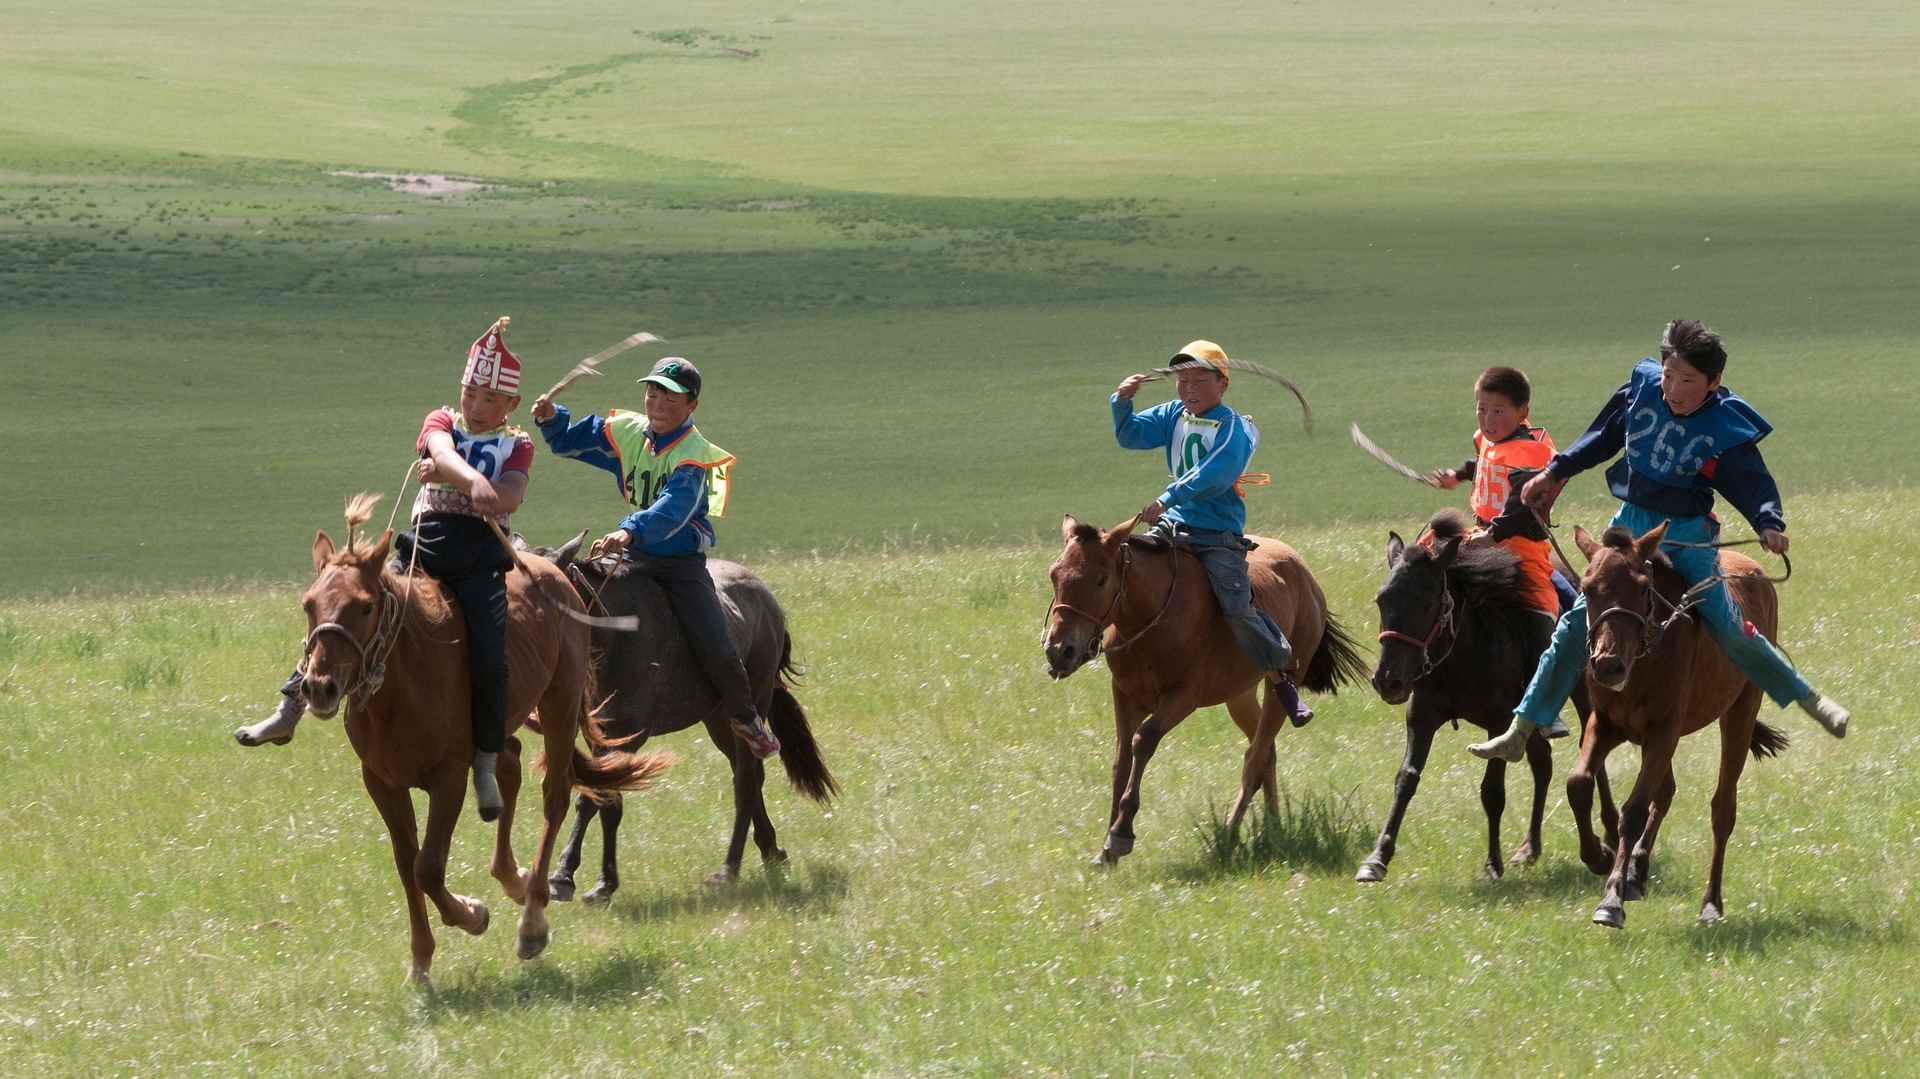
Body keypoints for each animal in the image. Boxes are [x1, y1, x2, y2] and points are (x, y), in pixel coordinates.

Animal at [299, 495, 675, 983]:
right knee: (510, 765)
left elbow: (428, 867)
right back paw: (514, 878)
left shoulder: (449, 778)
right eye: (309, 605)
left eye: (364, 607)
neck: (405, 686)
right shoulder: (380, 781)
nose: (319, 687)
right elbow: (406, 863)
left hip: (560, 706)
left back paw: (532, 918)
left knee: (554, 796)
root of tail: (556, 575)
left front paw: (472, 914)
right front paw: (421, 959)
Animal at [541, 529, 840, 898]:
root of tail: (768, 601)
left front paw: (589, 880)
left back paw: (729, 868)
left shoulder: (627, 735)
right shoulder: (599, 735)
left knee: (746, 781)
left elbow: (601, 800)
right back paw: (771, 850)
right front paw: (575, 875)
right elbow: (600, 797)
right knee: (751, 776)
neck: (612, 635)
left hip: (751, 703)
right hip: (719, 720)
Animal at [1044, 514, 1374, 863]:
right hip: (1239, 696)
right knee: (1266, 751)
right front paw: (1106, 849)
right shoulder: (1123, 694)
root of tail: (1307, 577)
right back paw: (1272, 829)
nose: (1059, 650)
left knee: (1256, 757)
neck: (1153, 617)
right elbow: (1121, 761)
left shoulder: (1183, 697)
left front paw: (1120, 834)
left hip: (1282, 682)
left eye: (1101, 579)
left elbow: (1142, 741)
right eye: (1054, 575)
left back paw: (1227, 836)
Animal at [1359, 506, 1612, 879]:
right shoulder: (1421, 716)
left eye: (1426, 603)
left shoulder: (1499, 720)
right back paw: (1530, 847)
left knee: (1591, 750)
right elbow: (1405, 779)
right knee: (1543, 763)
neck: (1461, 649)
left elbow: (1492, 792)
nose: (1388, 680)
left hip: (1581, 693)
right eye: (1381, 600)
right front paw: (1377, 857)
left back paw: (1610, 831)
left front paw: (1493, 863)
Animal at [1566, 522, 1789, 925]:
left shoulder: (1663, 731)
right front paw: (1600, 857)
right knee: (1666, 792)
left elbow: (1634, 811)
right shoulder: (1606, 725)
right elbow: (1578, 784)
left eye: (1642, 586)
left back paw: (1710, 902)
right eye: (1587, 587)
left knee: (1722, 808)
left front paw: (1611, 899)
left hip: (1740, 712)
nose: (1607, 664)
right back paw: (1636, 870)